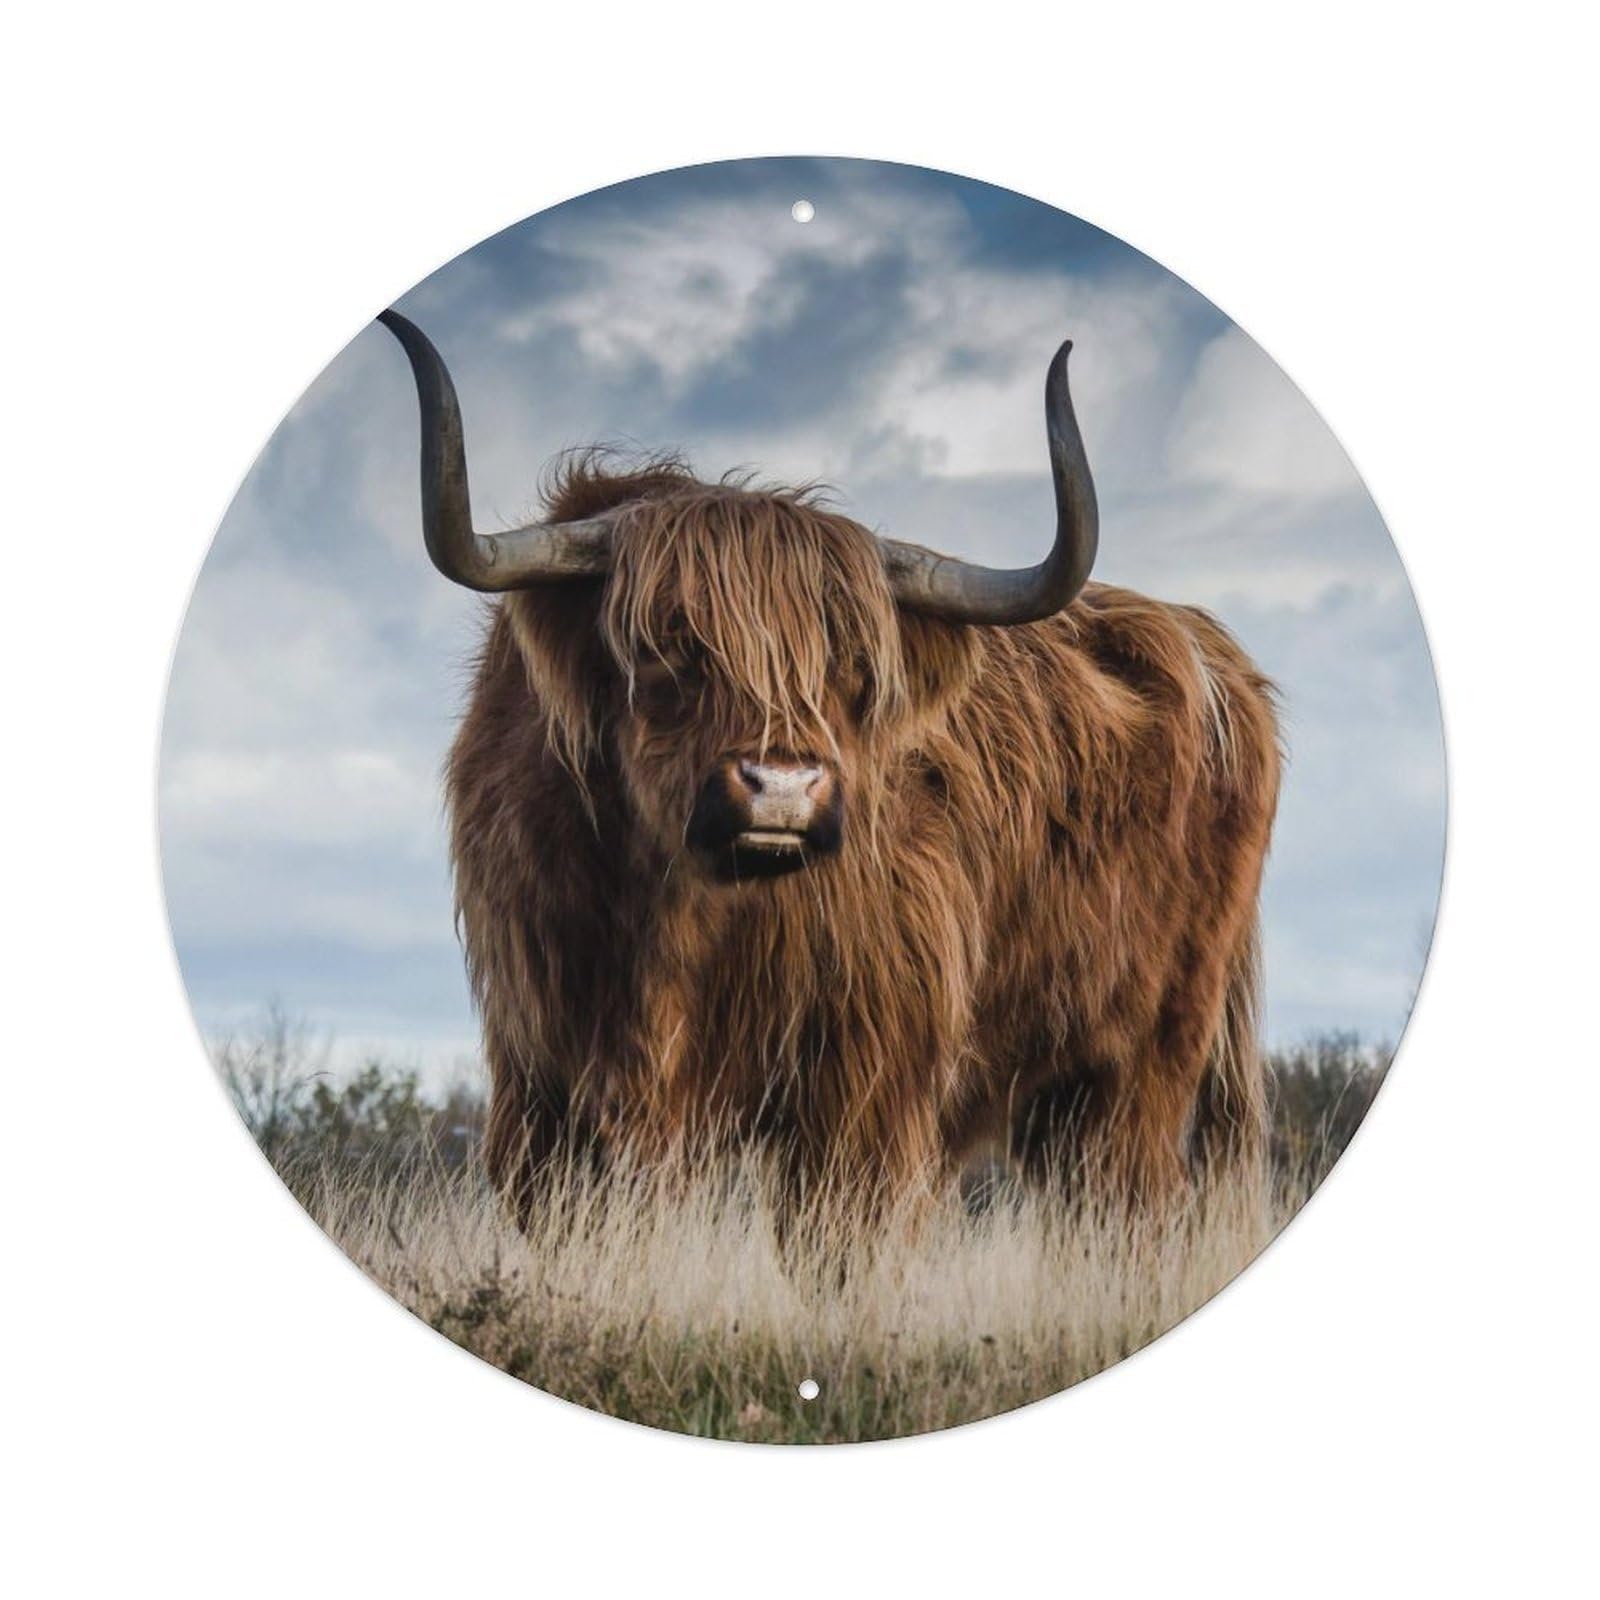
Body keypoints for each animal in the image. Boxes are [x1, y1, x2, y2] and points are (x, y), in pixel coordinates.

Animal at [378, 310, 1281, 1220]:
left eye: (851, 664)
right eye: (670, 644)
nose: (781, 789)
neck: (675, 923)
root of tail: (1211, 649)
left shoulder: (866, 1087)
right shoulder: (544, 1081)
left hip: (1143, 1062)